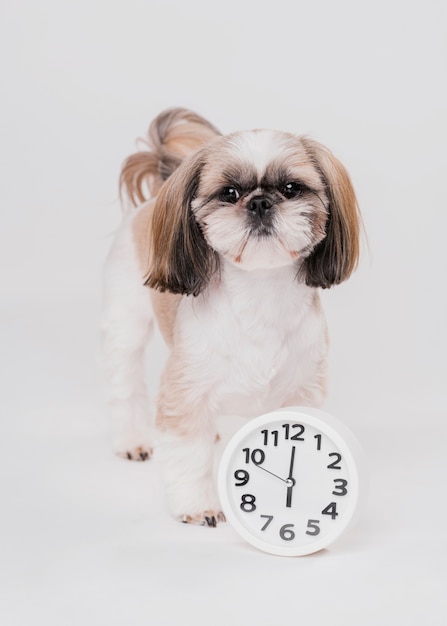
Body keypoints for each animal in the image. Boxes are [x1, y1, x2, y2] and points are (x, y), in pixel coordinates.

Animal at [101, 109, 360, 524]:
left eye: (291, 188)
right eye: (229, 193)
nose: (260, 203)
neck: (260, 297)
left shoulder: (302, 390)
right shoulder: (185, 389)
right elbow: (189, 455)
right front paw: (198, 505)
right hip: (126, 319)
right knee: (124, 379)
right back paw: (133, 440)